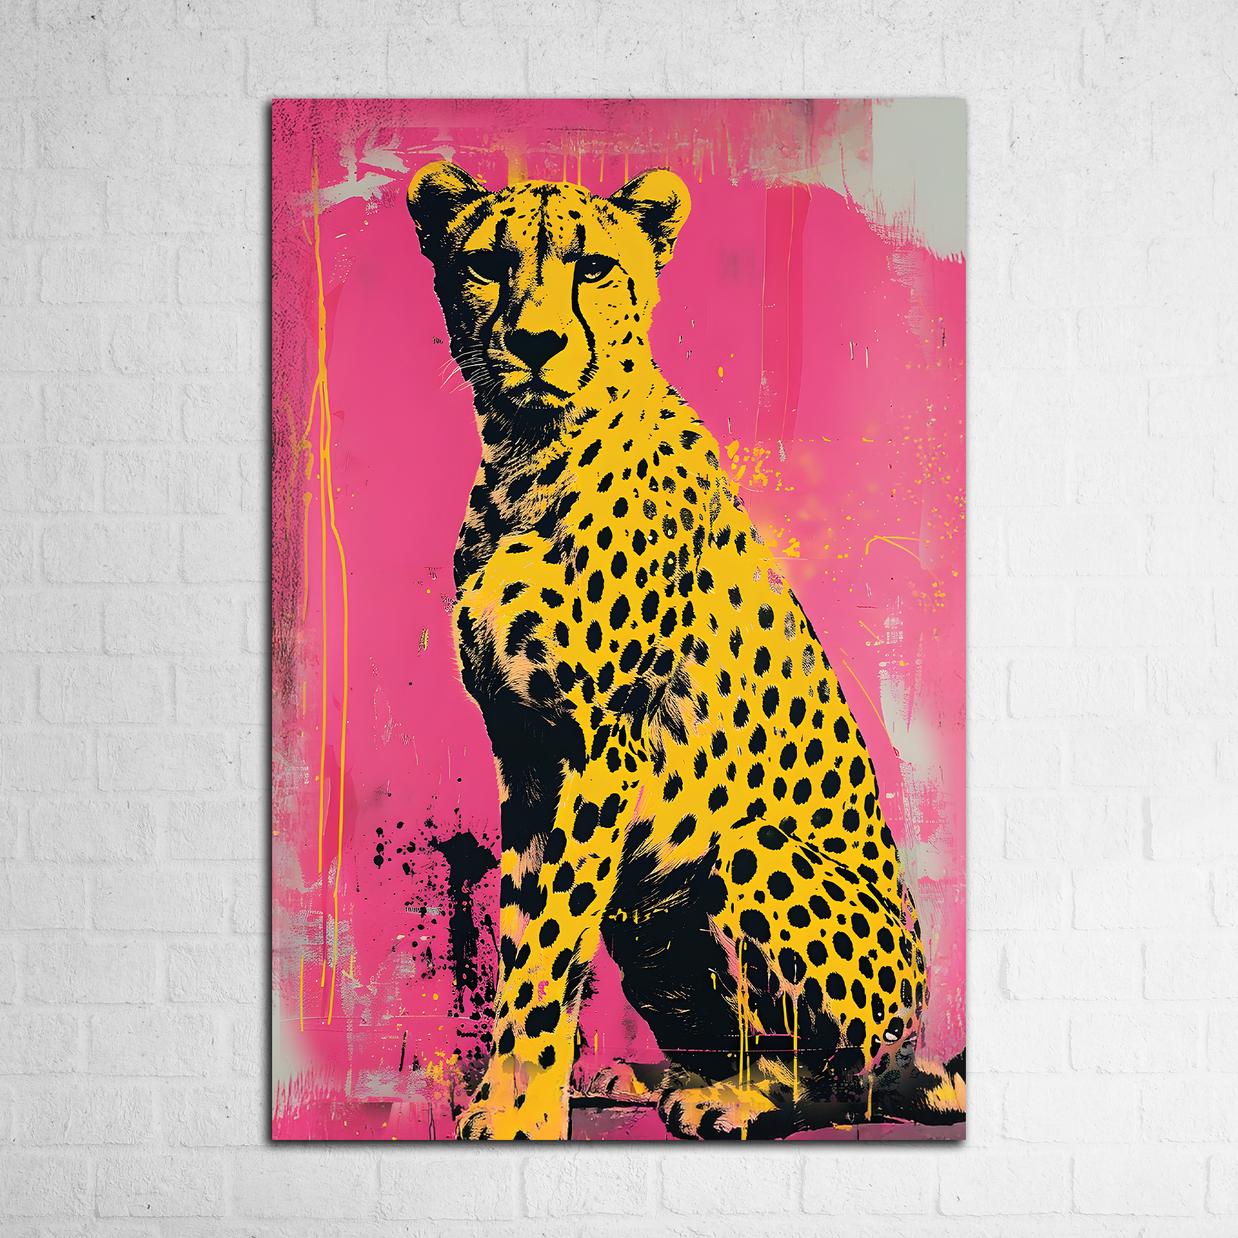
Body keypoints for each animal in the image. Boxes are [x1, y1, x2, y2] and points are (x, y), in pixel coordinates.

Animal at [406, 161, 964, 1140]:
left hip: (751, 855)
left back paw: (735, 1098)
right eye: (487, 264)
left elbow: (547, 953)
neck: (526, 459)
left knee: (840, 1081)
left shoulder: (597, 752)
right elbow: (522, 940)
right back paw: (653, 1076)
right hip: (648, 906)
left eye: (592, 266)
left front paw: (521, 1115)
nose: (537, 342)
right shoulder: (527, 754)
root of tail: (921, 1044)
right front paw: (508, 1099)